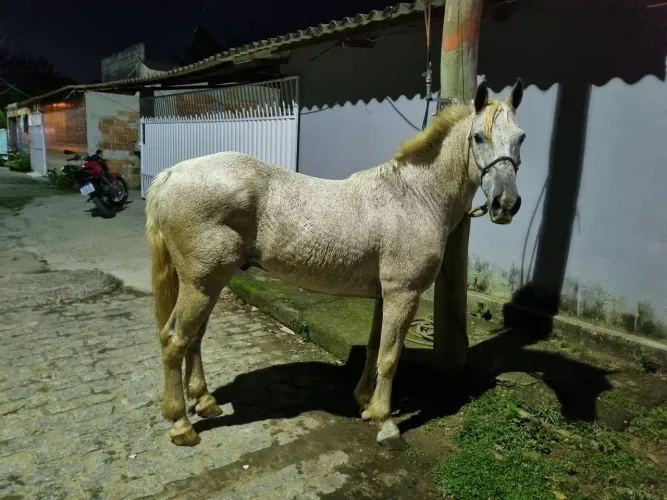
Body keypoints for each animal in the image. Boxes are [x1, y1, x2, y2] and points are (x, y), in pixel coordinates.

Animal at [145, 79, 526, 447]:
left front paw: (365, 401)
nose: (506, 204)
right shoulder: (404, 294)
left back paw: (205, 402)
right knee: (175, 339)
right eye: (478, 137)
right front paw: (385, 422)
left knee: (194, 337)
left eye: (521, 137)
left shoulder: (384, 295)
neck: (414, 197)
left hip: (210, 282)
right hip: (201, 283)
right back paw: (181, 424)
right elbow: (391, 356)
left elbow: (375, 348)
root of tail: (171, 174)